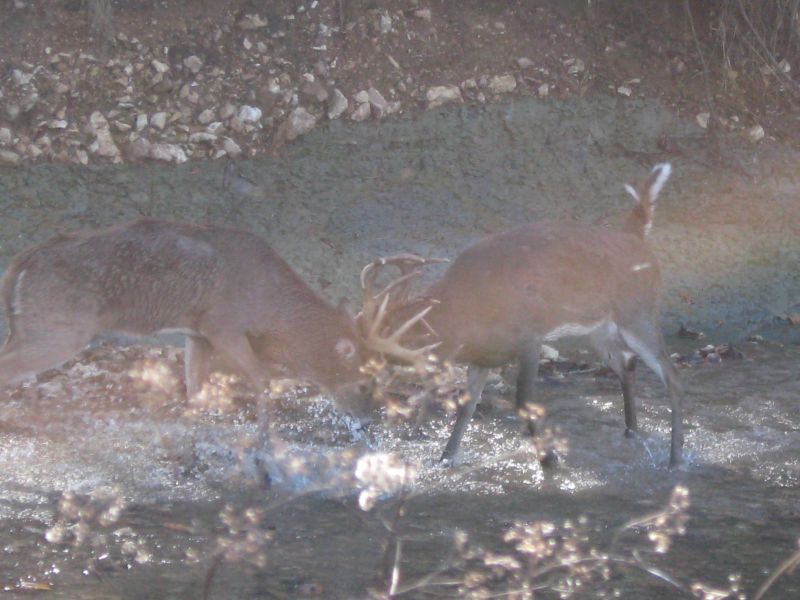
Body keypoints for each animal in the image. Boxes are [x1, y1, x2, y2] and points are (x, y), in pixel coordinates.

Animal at [0, 218, 411, 418]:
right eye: (364, 383)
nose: (368, 418)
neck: (270, 306)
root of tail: (20, 263)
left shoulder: (196, 332)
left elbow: (195, 386)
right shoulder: (223, 324)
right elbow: (261, 380)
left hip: (29, 326)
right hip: (57, 327)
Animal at [359, 164, 684, 468]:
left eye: (381, 365)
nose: (362, 406)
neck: (465, 314)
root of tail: (636, 236)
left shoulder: (530, 334)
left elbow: (523, 401)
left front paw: (550, 461)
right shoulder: (482, 356)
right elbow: (467, 407)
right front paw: (445, 459)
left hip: (638, 312)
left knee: (671, 374)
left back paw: (674, 460)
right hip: (599, 329)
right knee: (627, 363)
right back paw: (632, 432)